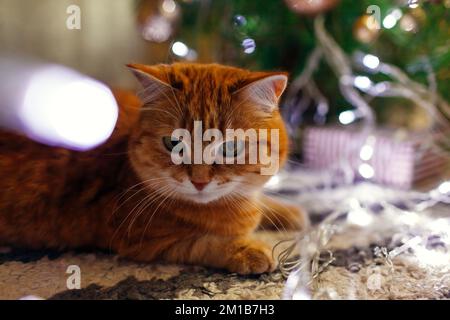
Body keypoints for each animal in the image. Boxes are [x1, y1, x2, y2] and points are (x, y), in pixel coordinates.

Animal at [0, 63, 306, 276]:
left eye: (230, 148)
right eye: (174, 143)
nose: (199, 181)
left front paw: (288, 212)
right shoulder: (144, 241)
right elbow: (205, 243)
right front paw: (246, 249)